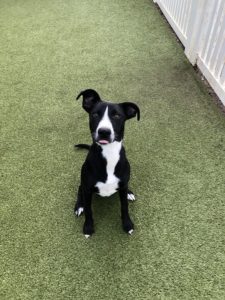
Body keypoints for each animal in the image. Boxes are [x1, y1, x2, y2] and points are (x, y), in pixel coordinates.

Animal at [74, 88, 140, 237]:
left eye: (117, 116)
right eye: (95, 114)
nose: (104, 131)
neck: (109, 153)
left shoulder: (123, 185)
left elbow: (124, 208)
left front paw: (127, 225)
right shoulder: (87, 188)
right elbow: (89, 210)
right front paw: (88, 228)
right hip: (83, 184)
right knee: (80, 191)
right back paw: (79, 206)